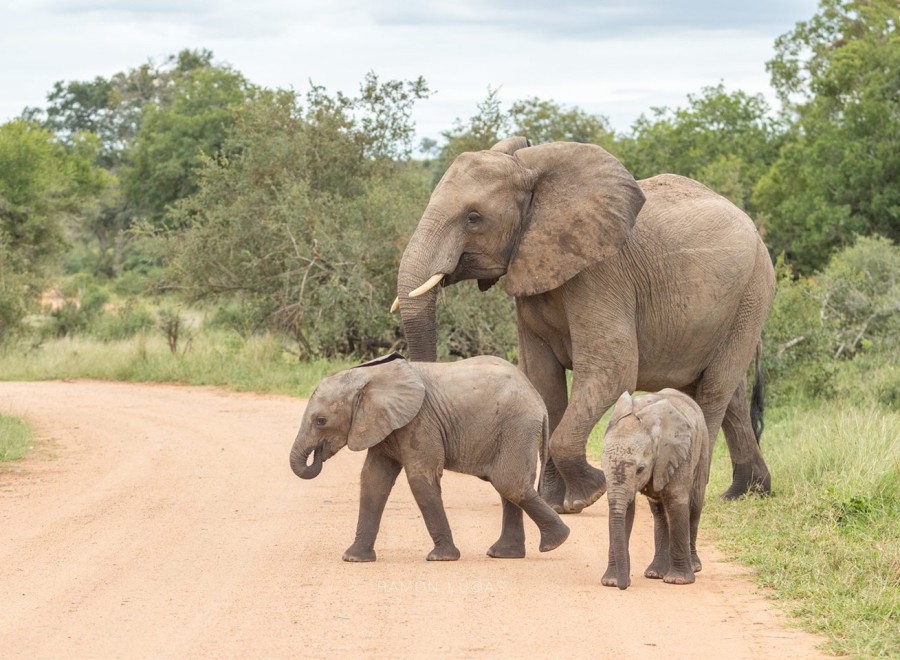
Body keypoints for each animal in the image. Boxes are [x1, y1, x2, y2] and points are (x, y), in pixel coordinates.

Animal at [288, 354, 568, 560]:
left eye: (321, 421)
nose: (318, 455)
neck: (371, 376)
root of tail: (538, 400)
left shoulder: (420, 422)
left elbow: (420, 480)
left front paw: (441, 558)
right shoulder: (383, 425)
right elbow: (373, 480)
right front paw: (354, 558)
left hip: (517, 428)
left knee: (509, 484)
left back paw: (555, 542)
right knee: (508, 486)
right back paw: (505, 553)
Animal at [394, 137, 772, 512]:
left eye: (473, 217)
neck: (532, 169)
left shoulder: (602, 272)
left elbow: (613, 369)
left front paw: (588, 495)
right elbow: (543, 379)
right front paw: (555, 503)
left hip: (752, 294)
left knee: (713, 391)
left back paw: (693, 496)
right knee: (730, 395)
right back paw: (745, 492)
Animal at [596, 386, 712, 588]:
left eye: (640, 469)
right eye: (603, 467)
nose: (624, 586)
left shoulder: (678, 453)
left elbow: (677, 502)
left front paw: (678, 581)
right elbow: (626, 510)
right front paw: (611, 582)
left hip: (702, 446)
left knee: (695, 505)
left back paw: (693, 567)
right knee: (659, 514)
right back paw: (655, 573)